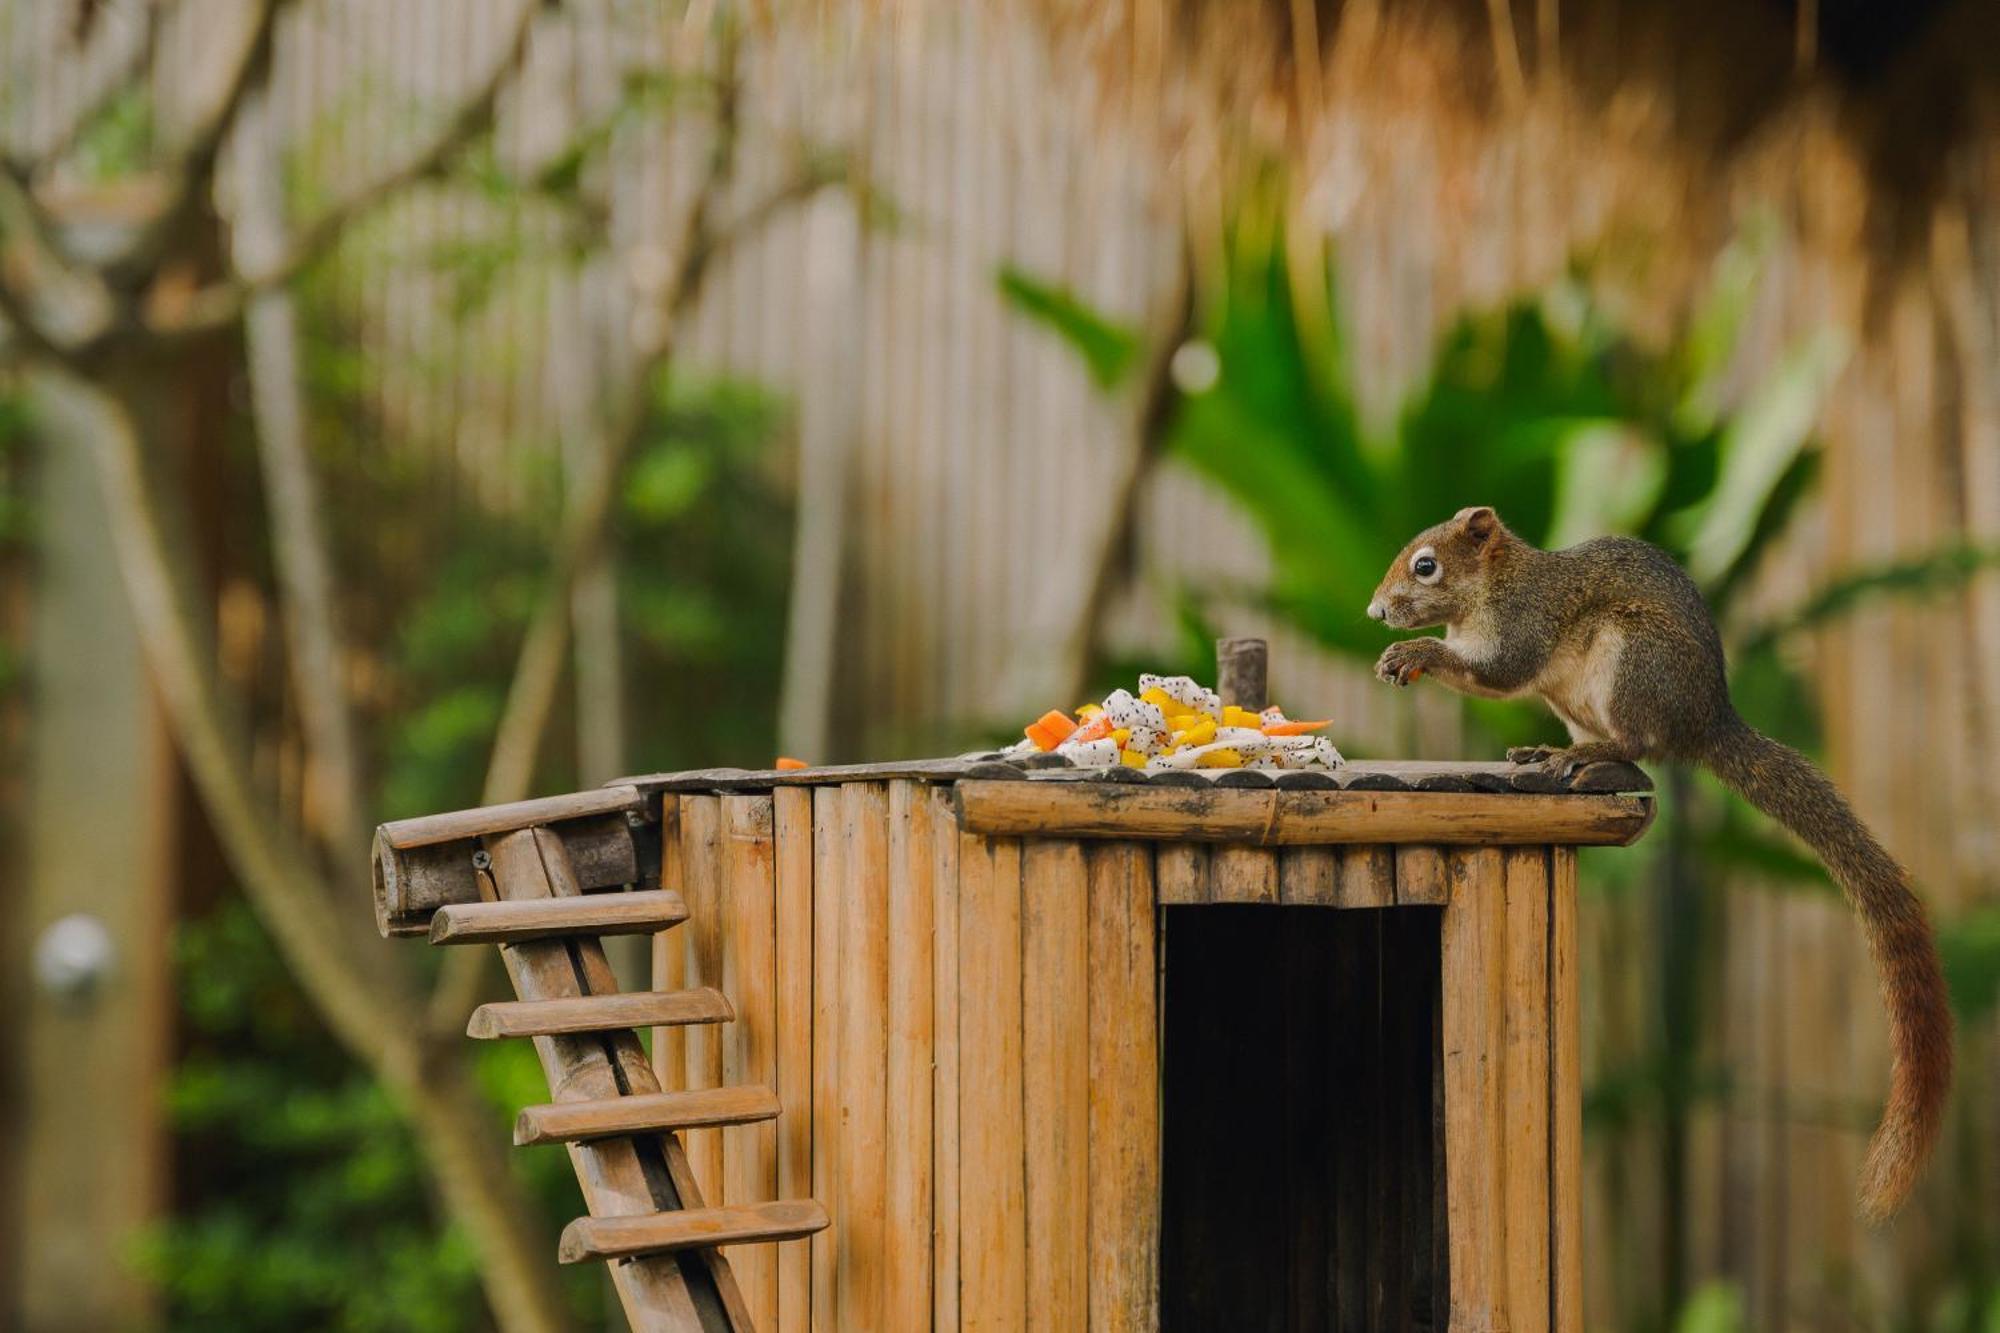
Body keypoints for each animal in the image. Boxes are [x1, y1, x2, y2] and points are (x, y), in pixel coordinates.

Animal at [1376, 504, 1952, 1216]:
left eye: (1426, 565)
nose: (1375, 610)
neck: (1491, 587)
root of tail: (1708, 722)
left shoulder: (1524, 622)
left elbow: (1503, 671)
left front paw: (1417, 652)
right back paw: (1549, 752)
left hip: (1633, 660)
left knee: (1637, 747)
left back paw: (1584, 755)